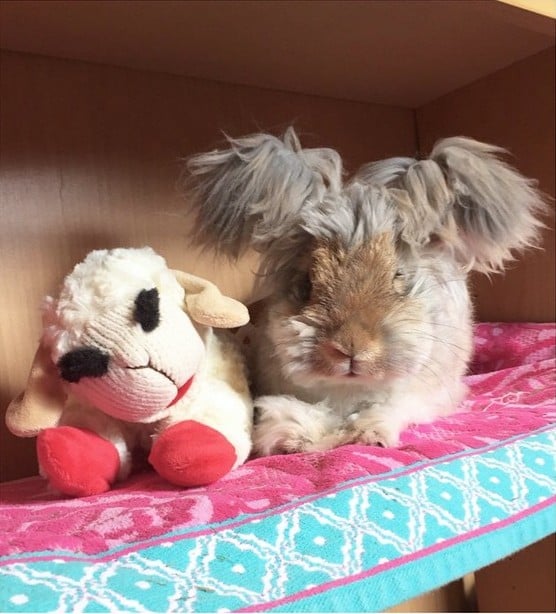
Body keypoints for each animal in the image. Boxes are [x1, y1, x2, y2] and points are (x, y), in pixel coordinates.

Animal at [185, 129, 544, 458]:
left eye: (399, 276)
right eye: (307, 283)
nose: (349, 348)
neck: (351, 387)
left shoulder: (428, 395)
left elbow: (389, 410)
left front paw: (370, 435)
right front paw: (294, 438)